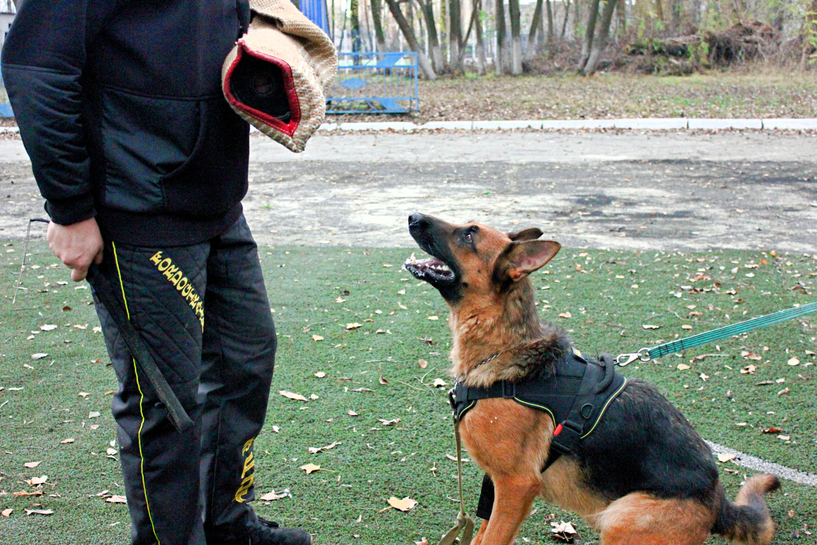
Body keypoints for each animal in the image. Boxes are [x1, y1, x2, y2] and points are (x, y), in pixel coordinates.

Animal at [404, 213, 779, 545]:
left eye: (469, 234)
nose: (412, 216)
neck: (503, 348)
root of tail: (717, 500)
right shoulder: (495, 485)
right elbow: (482, 533)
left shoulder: (516, 486)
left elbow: (493, 537)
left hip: (620, 518)